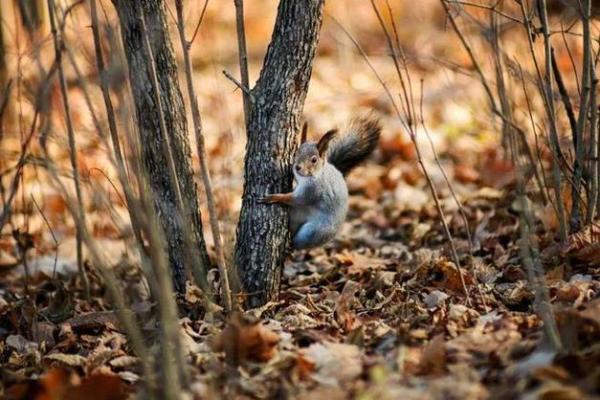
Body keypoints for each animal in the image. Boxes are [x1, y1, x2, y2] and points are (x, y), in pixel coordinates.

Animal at [260, 114, 382, 248]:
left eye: (314, 160)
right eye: (296, 153)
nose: (297, 167)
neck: (314, 175)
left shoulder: (313, 190)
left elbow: (297, 199)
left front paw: (275, 197)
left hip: (312, 232)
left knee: (300, 243)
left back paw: (291, 245)